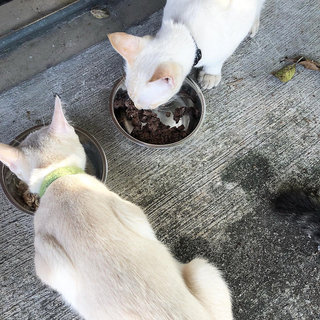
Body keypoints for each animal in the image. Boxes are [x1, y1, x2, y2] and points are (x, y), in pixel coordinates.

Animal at [107, 0, 264, 109]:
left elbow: (216, 62)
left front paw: (210, 75)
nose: (138, 108)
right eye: (131, 98)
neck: (186, 30)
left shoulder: (230, 41)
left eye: (149, 104)